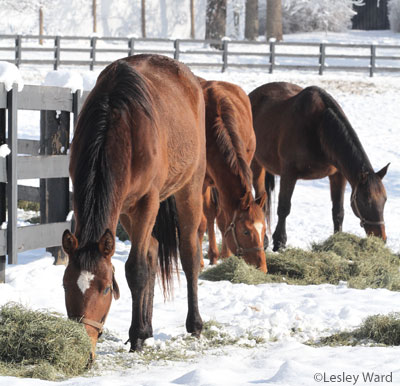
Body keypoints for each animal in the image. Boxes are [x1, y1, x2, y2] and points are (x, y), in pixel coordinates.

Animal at [61, 54, 208, 358]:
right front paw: (140, 331)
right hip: (126, 210)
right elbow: (143, 263)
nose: (84, 345)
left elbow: (136, 270)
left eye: (106, 289)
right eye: (66, 284)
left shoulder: (147, 201)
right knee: (152, 250)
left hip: (189, 188)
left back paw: (194, 325)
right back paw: (148, 326)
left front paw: (137, 335)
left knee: (189, 255)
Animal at [198, 78, 268, 272]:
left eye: (264, 230)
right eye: (245, 231)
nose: (262, 267)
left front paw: (225, 255)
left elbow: (222, 220)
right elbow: (201, 222)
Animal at [250, 82, 388, 252]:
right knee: (260, 198)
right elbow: (284, 208)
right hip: (256, 164)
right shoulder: (289, 174)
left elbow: (338, 211)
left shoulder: (337, 175)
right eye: (365, 201)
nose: (381, 238)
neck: (319, 128)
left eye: (384, 200)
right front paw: (280, 242)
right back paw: (263, 240)